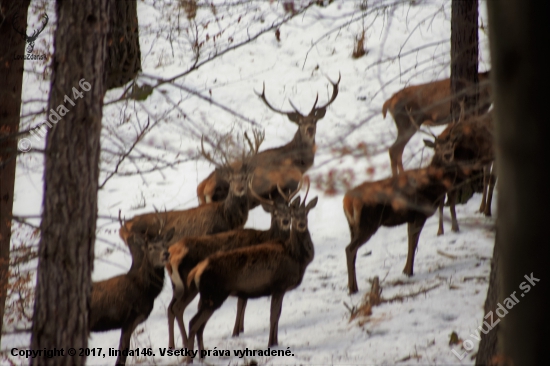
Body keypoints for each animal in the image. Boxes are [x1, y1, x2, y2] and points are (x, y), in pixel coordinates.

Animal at [89, 227, 175, 364]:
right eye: (150, 247)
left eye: (164, 244)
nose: (166, 254)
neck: (146, 290)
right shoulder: (130, 317)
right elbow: (123, 350)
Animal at [119, 131, 266, 249]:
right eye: (230, 180)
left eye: (245, 178)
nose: (240, 188)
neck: (230, 219)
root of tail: (122, 228)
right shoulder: (208, 232)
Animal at [184, 184, 316, 362]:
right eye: (293, 215)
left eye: (306, 213)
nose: (301, 224)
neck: (295, 257)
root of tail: (196, 271)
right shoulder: (279, 284)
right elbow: (274, 315)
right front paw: (271, 344)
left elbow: (277, 315)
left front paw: (275, 342)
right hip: (213, 295)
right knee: (193, 323)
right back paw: (190, 359)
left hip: (207, 296)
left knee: (199, 325)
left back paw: (202, 356)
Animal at [195, 73, 340, 209]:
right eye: (300, 123)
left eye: (314, 121)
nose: (309, 129)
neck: (298, 163)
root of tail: (202, 189)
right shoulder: (285, 187)